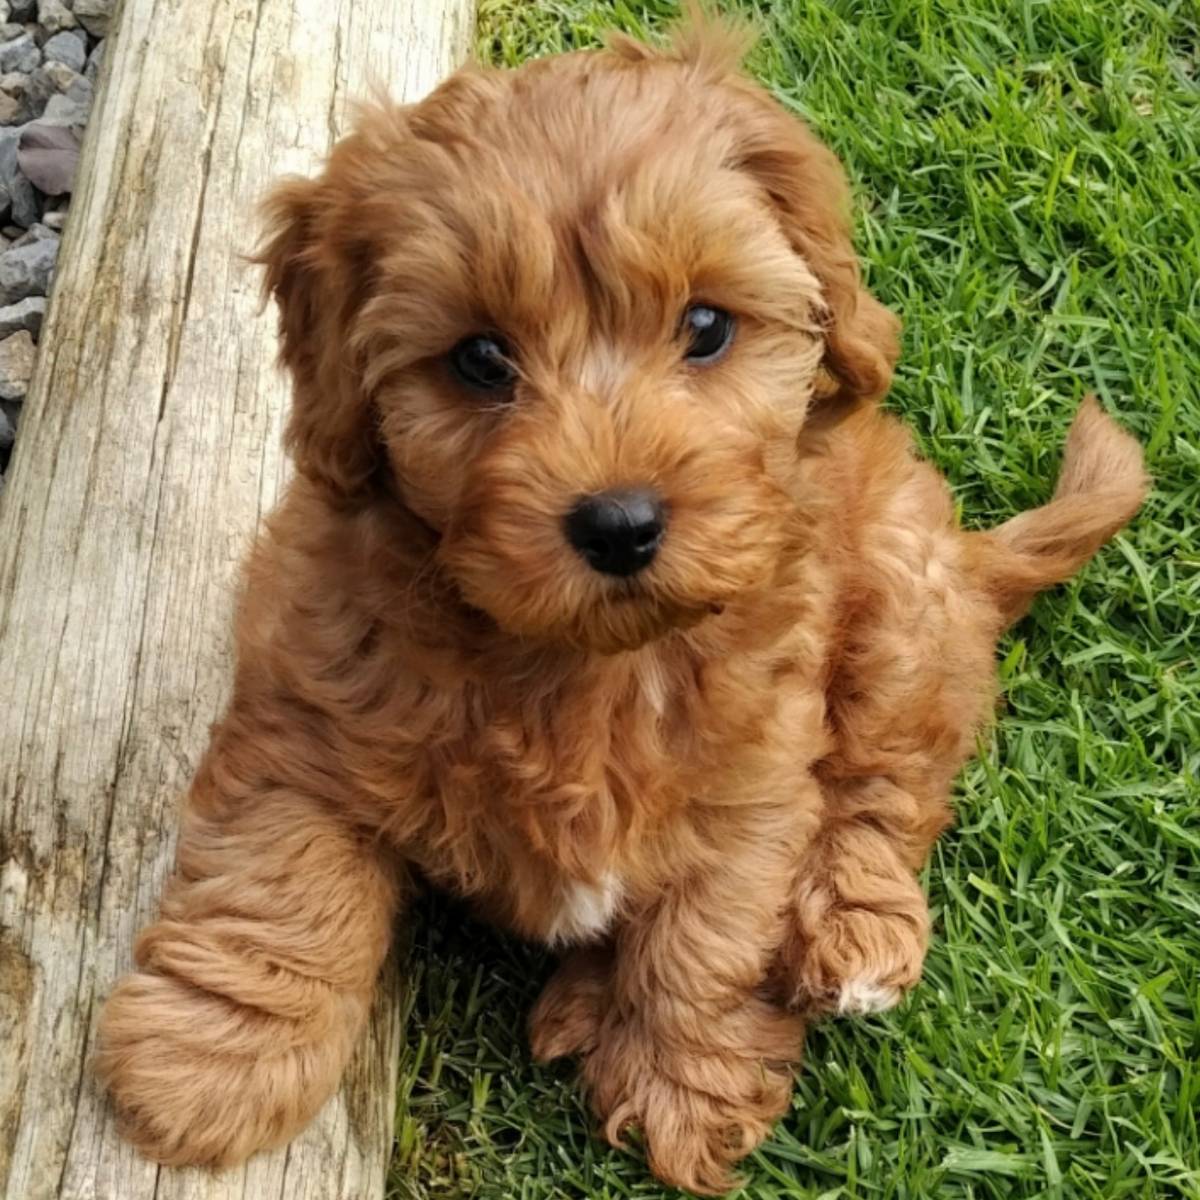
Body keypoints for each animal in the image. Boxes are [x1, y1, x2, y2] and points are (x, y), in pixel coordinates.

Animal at [93, 14, 1142, 1195]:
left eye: (707, 326)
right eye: (480, 358)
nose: (620, 524)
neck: (580, 668)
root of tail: (970, 559)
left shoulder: (754, 789)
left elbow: (706, 938)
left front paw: (683, 1085)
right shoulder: (305, 722)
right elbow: (277, 888)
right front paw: (207, 1065)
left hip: (899, 608)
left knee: (885, 794)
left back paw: (848, 938)